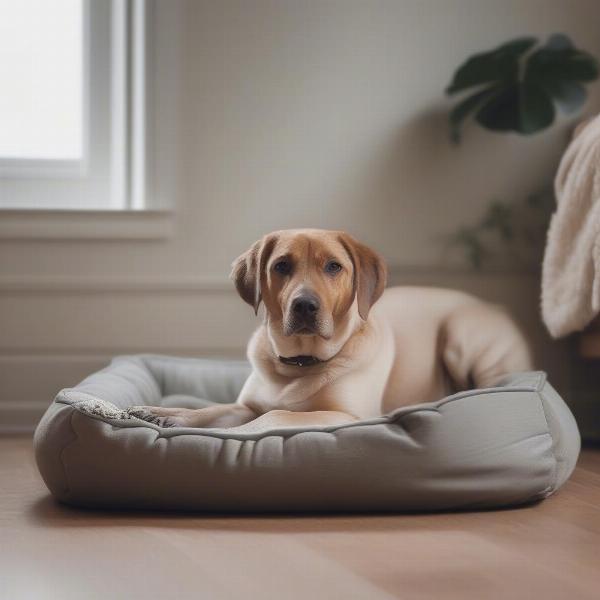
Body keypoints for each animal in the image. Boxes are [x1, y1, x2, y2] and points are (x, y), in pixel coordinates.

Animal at [134, 230, 532, 432]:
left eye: (333, 267)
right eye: (281, 265)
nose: (305, 306)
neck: (298, 363)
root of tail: (496, 307)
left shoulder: (348, 415)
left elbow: (274, 416)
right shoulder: (245, 404)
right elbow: (213, 410)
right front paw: (167, 414)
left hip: (461, 336)